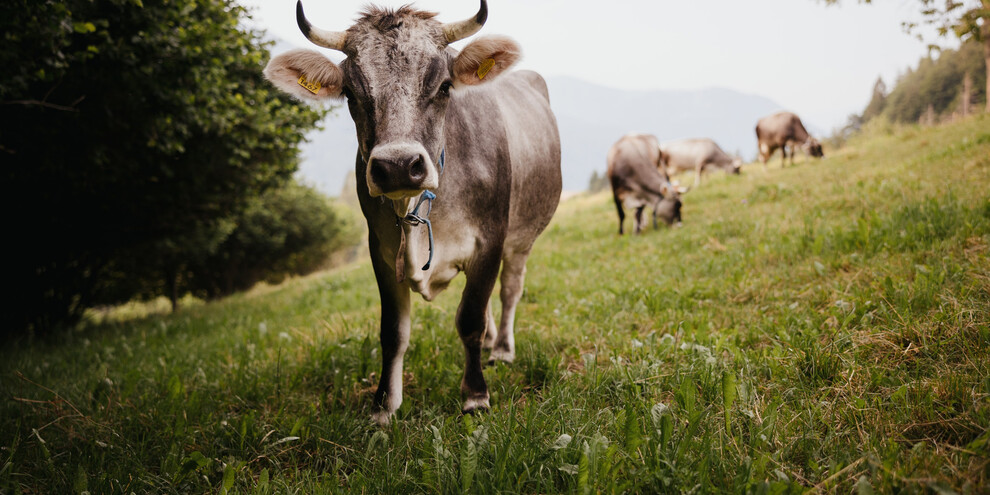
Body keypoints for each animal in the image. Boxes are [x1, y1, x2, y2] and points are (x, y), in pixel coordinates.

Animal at [263, 1, 562, 424]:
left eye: (445, 86)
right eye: (351, 94)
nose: (398, 166)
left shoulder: (489, 242)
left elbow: (470, 319)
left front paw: (475, 394)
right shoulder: (382, 252)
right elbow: (393, 332)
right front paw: (384, 406)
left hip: (521, 238)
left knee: (509, 290)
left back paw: (501, 347)